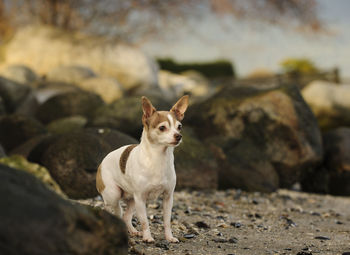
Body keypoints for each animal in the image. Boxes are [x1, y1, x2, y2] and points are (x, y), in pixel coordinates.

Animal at [95, 94, 189, 242]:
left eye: (179, 127)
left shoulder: (168, 198)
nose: (178, 136)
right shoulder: (141, 198)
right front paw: (148, 237)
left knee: (126, 216)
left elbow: (167, 221)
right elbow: (145, 221)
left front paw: (169, 237)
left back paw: (133, 231)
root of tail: (101, 163)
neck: (159, 158)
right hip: (114, 195)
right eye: (162, 128)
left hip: (132, 200)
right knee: (114, 210)